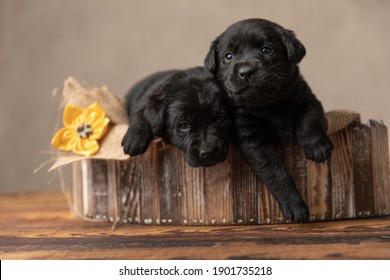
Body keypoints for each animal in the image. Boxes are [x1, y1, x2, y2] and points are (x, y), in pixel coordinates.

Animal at [206, 18, 334, 222]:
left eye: (267, 50)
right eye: (228, 56)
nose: (246, 71)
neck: (268, 105)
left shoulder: (307, 98)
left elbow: (309, 119)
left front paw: (317, 147)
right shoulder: (253, 139)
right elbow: (276, 173)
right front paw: (295, 206)